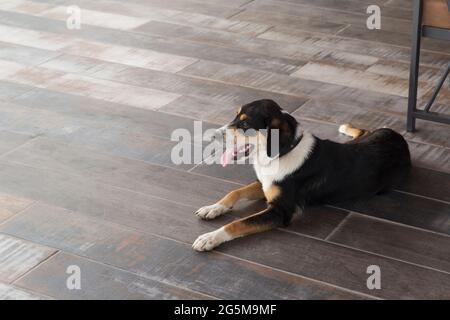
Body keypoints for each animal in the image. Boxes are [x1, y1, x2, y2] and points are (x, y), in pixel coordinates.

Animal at [192, 99, 410, 251]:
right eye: (235, 116)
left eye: (245, 125)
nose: (212, 135)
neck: (281, 153)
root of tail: (397, 137)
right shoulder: (264, 183)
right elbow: (235, 192)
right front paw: (212, 208)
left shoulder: (281, 211)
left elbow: (237, 223)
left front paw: (209, 238)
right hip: (363, 138)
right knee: (364, 130)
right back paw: (347, 127)